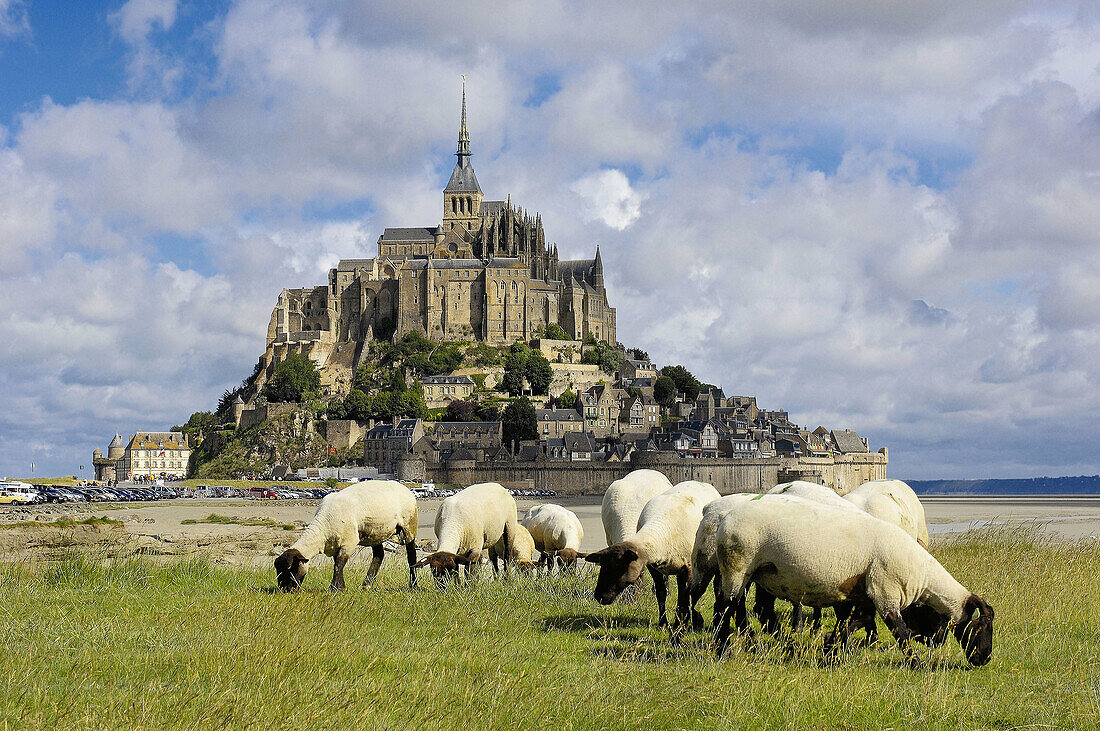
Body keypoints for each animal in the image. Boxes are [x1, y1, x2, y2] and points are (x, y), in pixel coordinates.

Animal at [275, 479, 420, 593]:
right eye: (278, 571)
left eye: (291, 570)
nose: (285, 590)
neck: (323, 531)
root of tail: (405, 488)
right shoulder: (335, 545)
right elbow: (338, 564)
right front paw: (341, 586)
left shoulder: (349, 542)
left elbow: (339, 564)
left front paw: (334, 588)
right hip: (376, 532)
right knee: (379, 555)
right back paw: (367, 585)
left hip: (409, 524)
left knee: (411, 556)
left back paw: (413, 585)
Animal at [712, 499, 998, 663]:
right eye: (982, 627)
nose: (985, 659)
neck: (922, 576)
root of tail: (724, 519)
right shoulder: (885, 592)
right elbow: (900, 631)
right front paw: (916, 663)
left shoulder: (863, 593)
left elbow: (851, 624)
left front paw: (831, 651)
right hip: (737, 565)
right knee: (727, 607)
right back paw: (724, 649)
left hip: (752, 573)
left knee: (740, 608)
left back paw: (754, 645)